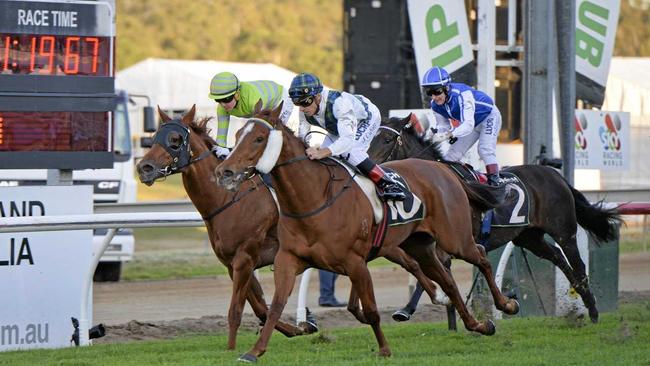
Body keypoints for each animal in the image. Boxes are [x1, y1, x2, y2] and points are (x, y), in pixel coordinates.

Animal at [135, 105, 316, 348]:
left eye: (175, 139)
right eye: (154, 138)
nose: (144, 168)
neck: (226, 199)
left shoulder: (245, 258)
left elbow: (236, 311)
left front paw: (230, 349)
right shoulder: (232, 263)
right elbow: (260, 308)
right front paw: (298, 329)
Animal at [215, 104, 520, 362]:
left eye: (258, 139)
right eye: (238, 134)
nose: (224, 171)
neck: (313, 198)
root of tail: (444, 170)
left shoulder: (355, 262)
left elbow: (372, 311)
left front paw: (384, 349)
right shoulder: (288, 259)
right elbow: (275, 306)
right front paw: (254, 351)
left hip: (455, 238)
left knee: (479, 255)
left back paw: (506, 305)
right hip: (419, 245)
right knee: (447, 281)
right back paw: (478, 324)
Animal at [368, 114, 620, 324]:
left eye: (388, 139)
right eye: (370, 138)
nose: (370, 165)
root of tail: (556, 176)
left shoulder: (450, 242)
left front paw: (411, 308)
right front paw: (409, 309)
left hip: (563, 230)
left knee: (577, 264)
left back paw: (593, 311)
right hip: (529, 237)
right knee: (559, 258)